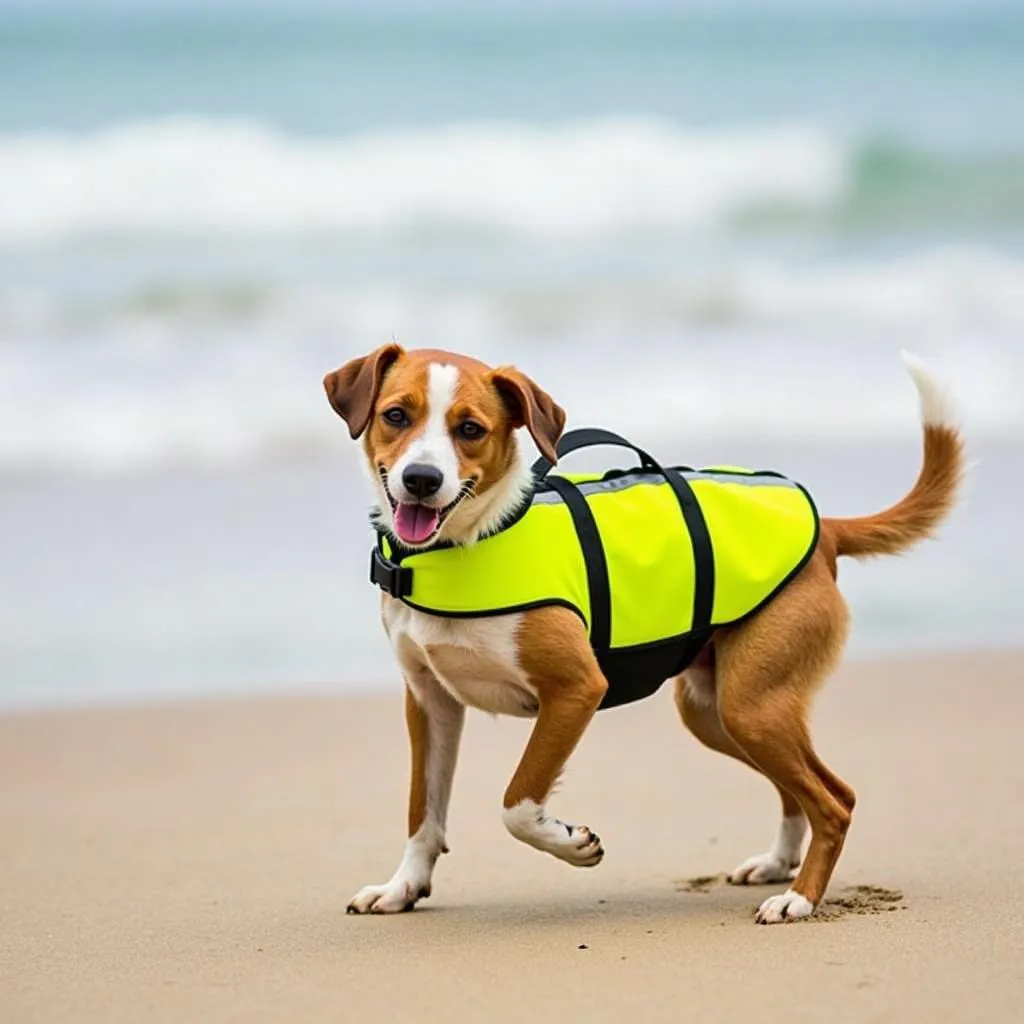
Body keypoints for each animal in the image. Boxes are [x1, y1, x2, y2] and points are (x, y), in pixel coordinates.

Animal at [323, 348, 962, 925]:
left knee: (835, 798)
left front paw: (570, 842)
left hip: (750, 707)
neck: (472, 540)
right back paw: (780, 864)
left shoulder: (576, 690)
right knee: (800, 789)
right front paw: (403, 887)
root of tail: (825, 529)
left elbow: (517, 803)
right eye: (396, 415)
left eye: (471, 430)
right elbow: (422, 813)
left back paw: (799, 898)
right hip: (718, 712)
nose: (421, 479)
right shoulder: (430, 703)